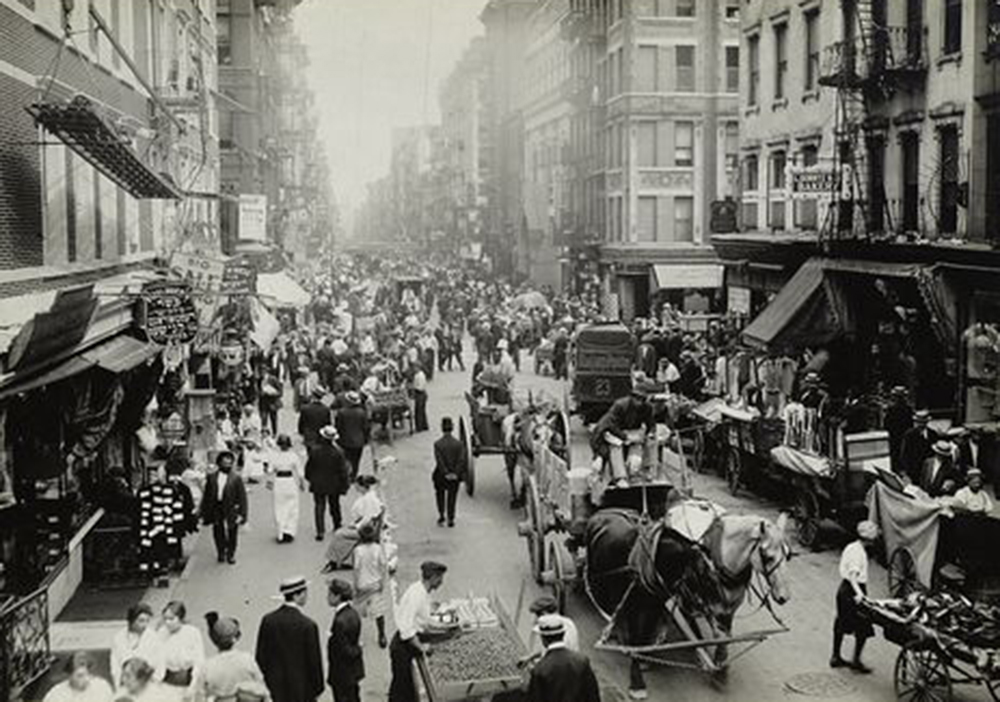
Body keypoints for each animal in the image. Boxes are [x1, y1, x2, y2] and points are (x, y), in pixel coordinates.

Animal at [584, 508, 788, 696]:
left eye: (789, 555)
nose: (784, 597)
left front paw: (720, 670)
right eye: (767, 555)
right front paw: (637, 680)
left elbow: (724, 638)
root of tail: (603, 513)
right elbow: (638, 637)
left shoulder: (725, 609)